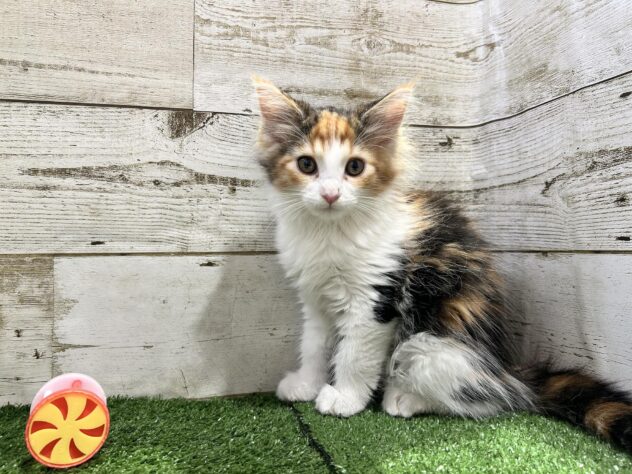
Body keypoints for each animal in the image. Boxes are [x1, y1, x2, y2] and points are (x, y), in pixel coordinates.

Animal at [252, 75, 632, 453]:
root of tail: (505, 368)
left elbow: (355, 353)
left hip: (431, 343)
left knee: (491, 400)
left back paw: (404, 398)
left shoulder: (375, 298)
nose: (330, 194)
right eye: (307, 165)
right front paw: (306, 384)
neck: (329, 233)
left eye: (354, 167)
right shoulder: (315, 299)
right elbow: (314, 345)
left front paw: (345, 398)